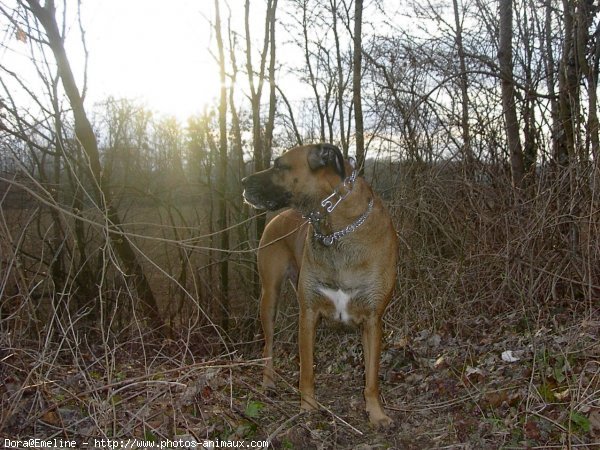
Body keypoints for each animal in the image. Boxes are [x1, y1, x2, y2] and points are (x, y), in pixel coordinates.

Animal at [241, 143, 396, 426]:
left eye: (279, 165)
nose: (244, 182)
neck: (337, 230)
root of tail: (278, 217)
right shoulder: (309, 314)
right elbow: (306, 372)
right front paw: (308, 408)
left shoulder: (372, 319)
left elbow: (371, 377)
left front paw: (376, 413)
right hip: (269, 297)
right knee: (268, 345)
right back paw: (268, 383)